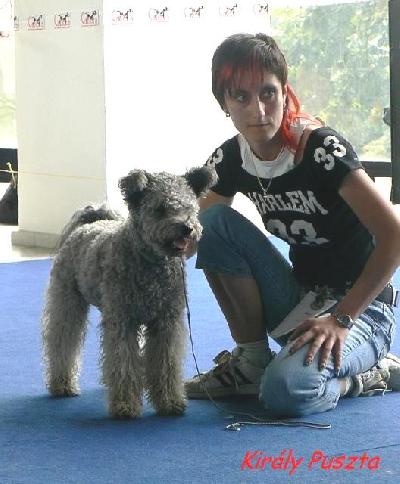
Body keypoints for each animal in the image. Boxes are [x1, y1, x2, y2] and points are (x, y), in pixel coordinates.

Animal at [42, 166, 217, 418]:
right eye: (160, 208)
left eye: (189, 206)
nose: (187, 228)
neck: (150, 264)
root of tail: (86, 225)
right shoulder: (123, 321)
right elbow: (123, 361)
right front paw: (125, 405)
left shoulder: (166, 323)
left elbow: (166, 362)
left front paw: (169, 401)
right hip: (68, 303)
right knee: (62, 342)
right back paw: (62, 383)